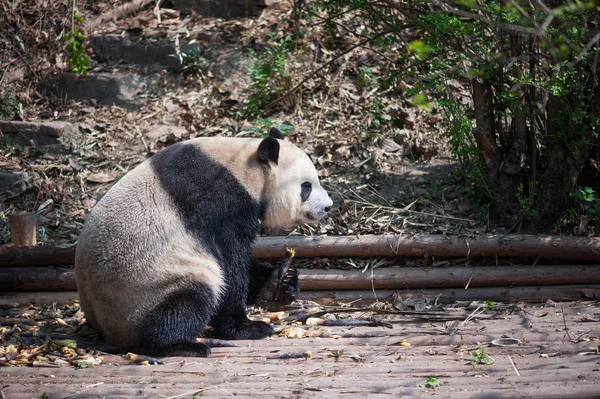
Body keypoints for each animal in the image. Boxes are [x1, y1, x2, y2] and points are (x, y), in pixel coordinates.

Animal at [75, 130, 332, 358]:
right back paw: (177, 345)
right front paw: (246, 328)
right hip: (147, 288)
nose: (328, 206)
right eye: (306, 187)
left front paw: (282, 283)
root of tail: (107, 330)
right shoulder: (218, 203)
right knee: (188, 300)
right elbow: (230, 261)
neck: (246, 170)